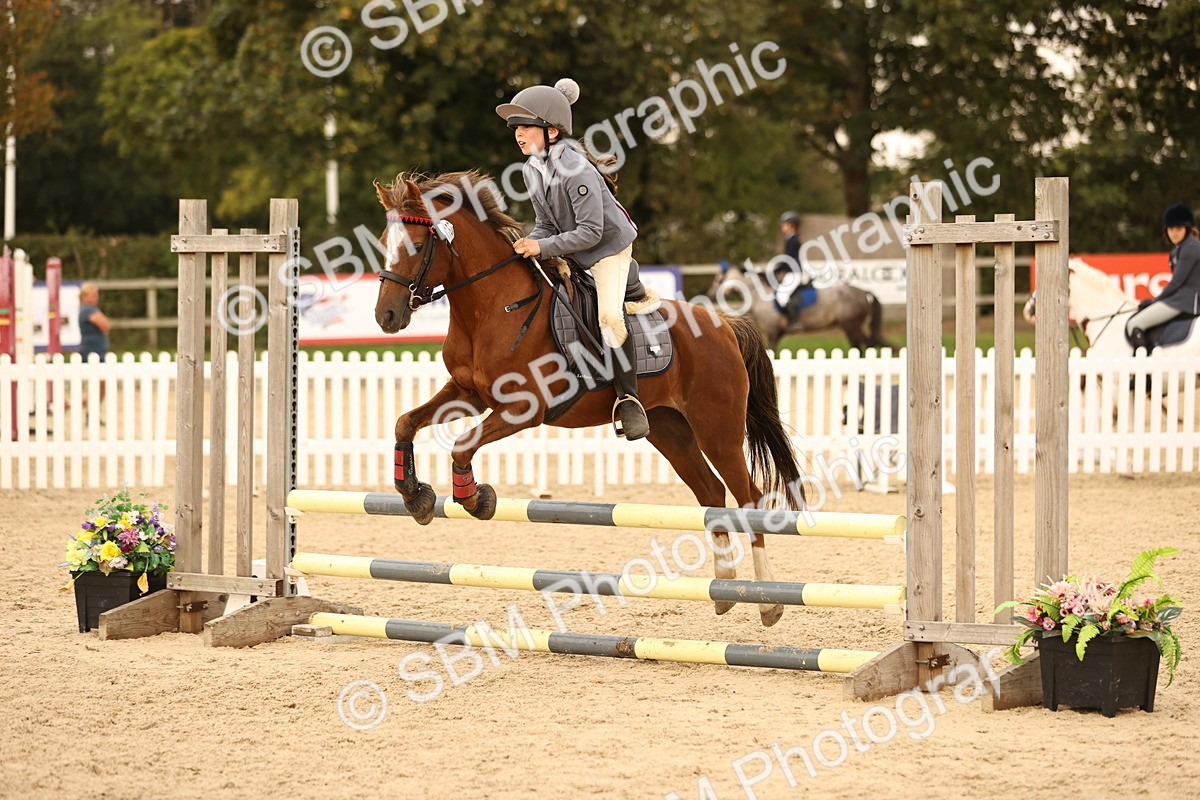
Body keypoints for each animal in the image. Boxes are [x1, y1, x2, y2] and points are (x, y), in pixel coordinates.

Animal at [372, 171, 806, 627]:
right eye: (385, 242)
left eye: (415, 246)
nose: (386, 316)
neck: (495, 306)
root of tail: (724, 323)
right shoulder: (468, 394)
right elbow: (405, 422)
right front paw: (415, 496)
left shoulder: (522, 408)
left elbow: (462, 445)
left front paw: (477, 499)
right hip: (671, 432)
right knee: (711, 494)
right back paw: (724, 587)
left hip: (717, 431)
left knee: (749, 498)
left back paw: (766, 599)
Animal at [705, 260, 895, 352]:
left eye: (719, 278)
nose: (710, 294)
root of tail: (864, 291)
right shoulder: (777, 333)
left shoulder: (772, 332)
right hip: (850, 327)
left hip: (852, 325)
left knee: (866, 345)